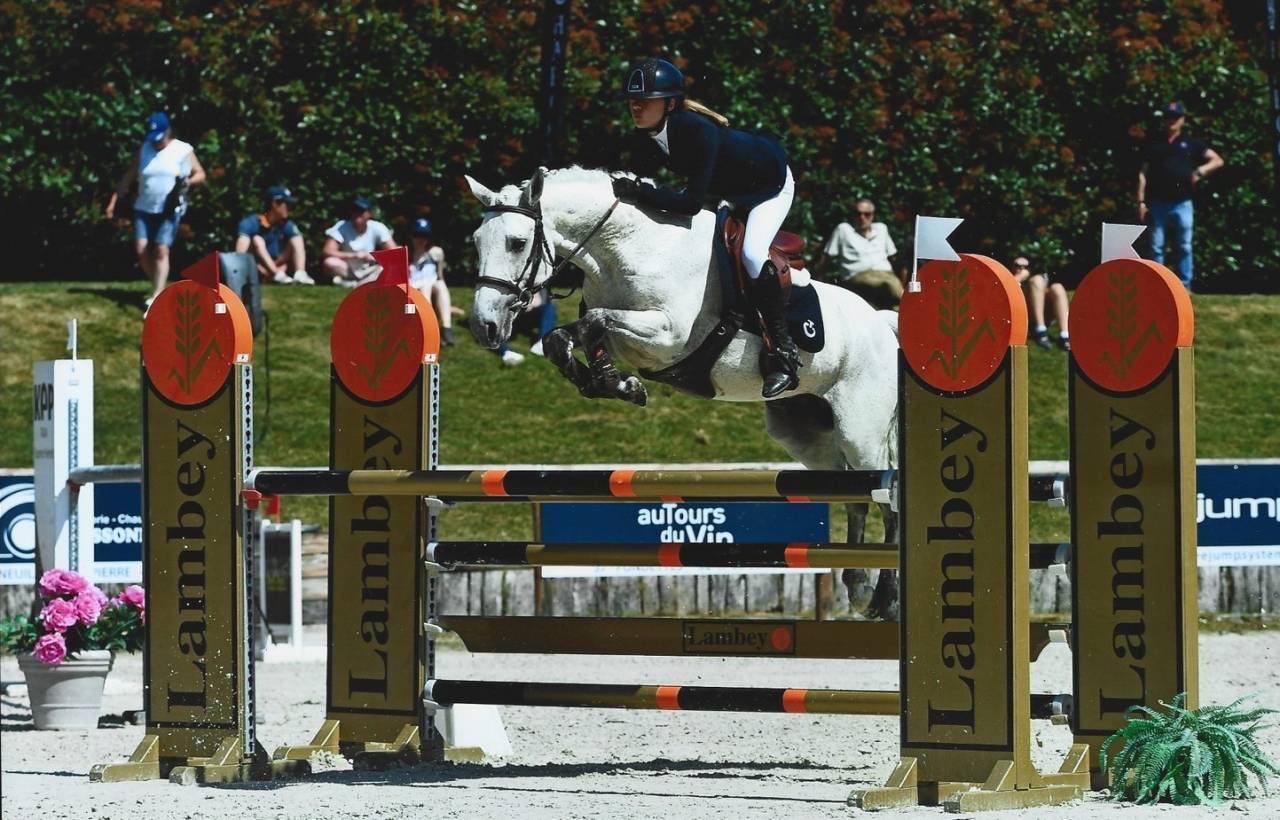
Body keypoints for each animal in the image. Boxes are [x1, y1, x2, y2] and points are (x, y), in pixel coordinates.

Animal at [465, 166, 902, 617]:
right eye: (477, 241)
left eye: (517, 243)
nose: (485, 327)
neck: (628, 248)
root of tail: (883, 322)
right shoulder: (632, 338)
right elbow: (567, 336)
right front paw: (614, 383)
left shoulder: (667, 335)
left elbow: (596, 322)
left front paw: (617, 382)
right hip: (804, 434)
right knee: (853, 496)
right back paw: (857, 585)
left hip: (860, 430)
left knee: (886, 499)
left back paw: (884, 596)